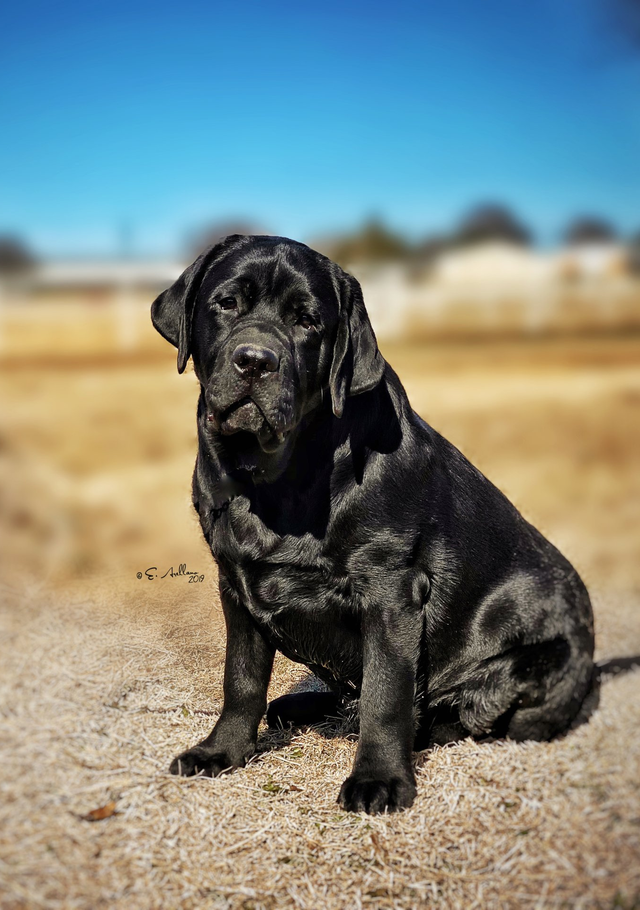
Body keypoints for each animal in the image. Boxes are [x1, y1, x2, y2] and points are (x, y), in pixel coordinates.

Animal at [152, 233, 596, 812]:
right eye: (226, 303)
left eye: (308, 321)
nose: (255, 361)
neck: (274, 480)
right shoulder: (235, 583)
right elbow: (241, 679)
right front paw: (221, 751)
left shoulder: (391, 592)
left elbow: (387, 693)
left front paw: (379, 779)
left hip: (539, 660)